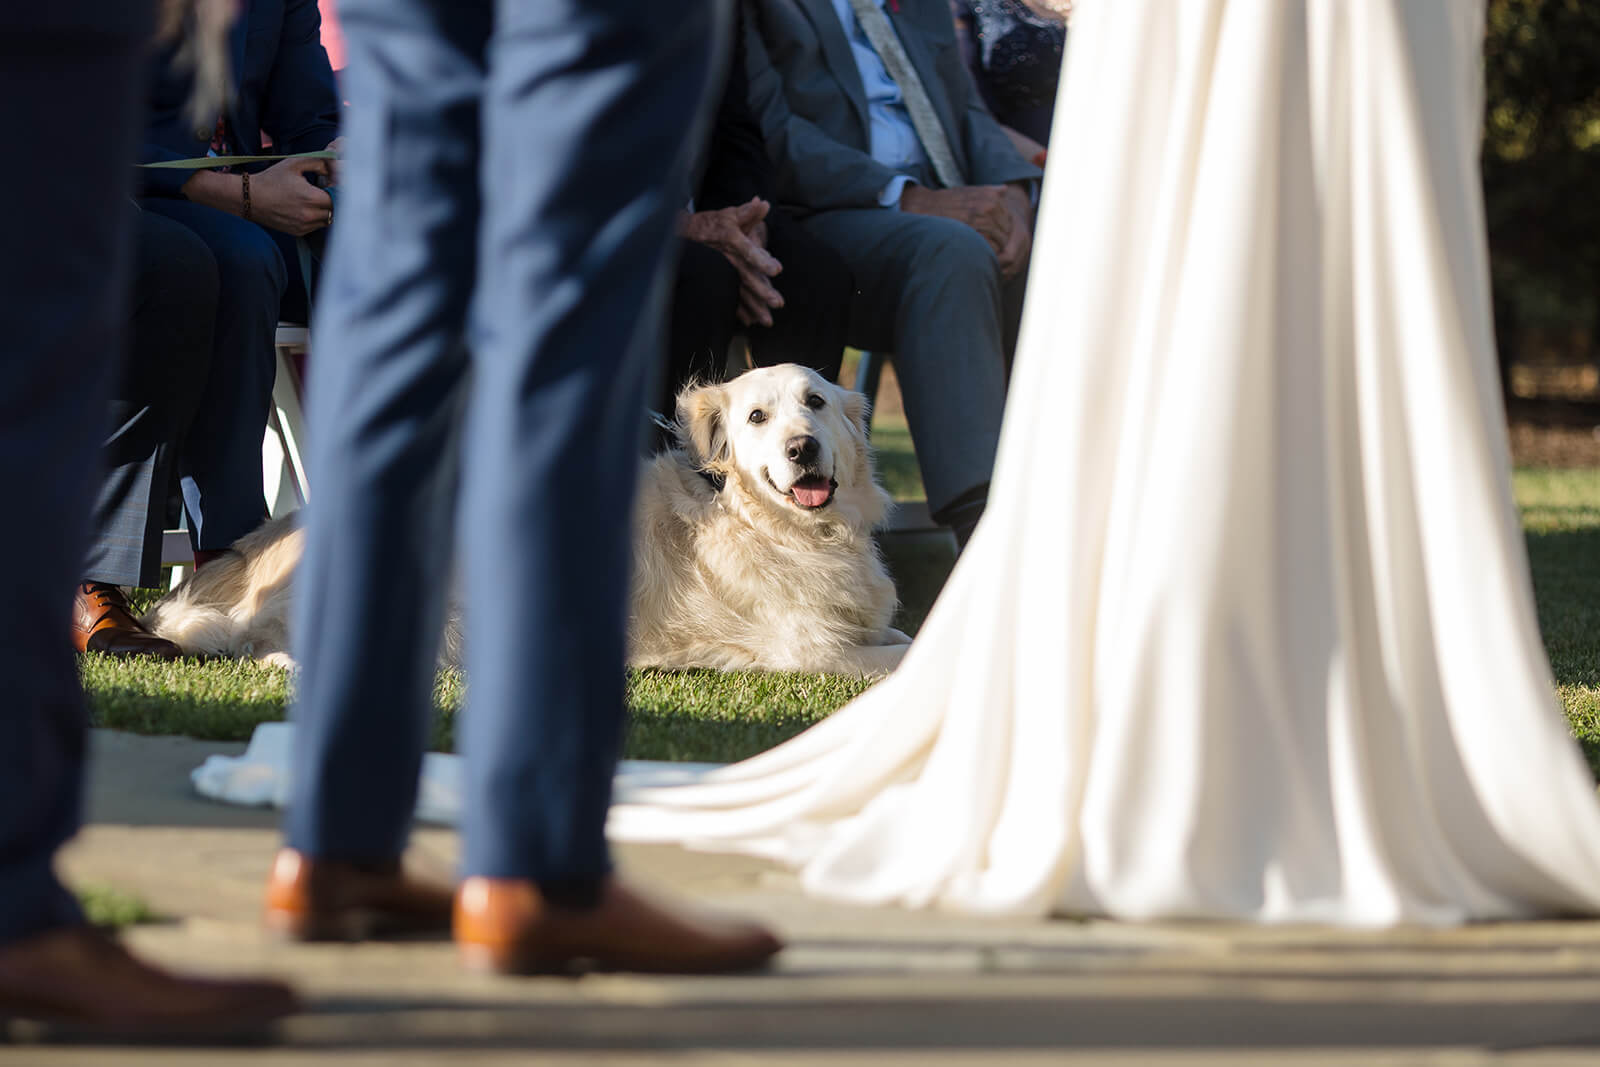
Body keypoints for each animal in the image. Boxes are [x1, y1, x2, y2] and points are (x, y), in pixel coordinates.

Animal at [147, 363, 915, 671]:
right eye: (756, 416)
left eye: (815, 402)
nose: (802, 448)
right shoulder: (810, 651)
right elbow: (894, 661)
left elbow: (906, 635)